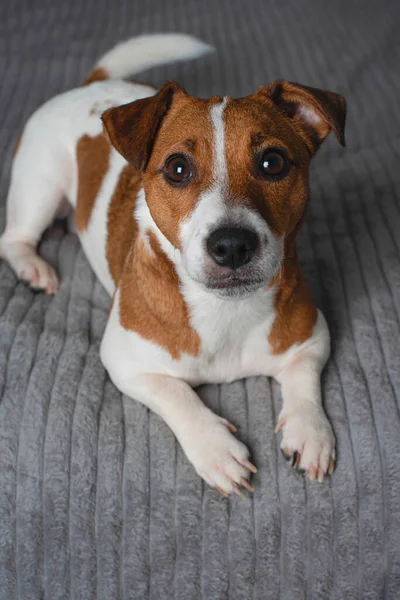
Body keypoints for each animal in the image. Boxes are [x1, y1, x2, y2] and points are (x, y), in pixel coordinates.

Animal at [0, 32, 346, 496]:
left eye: (272, 162)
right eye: (178, 168)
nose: (232, 245)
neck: (224, 310)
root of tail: (90, 85)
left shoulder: (311, 337)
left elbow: (303, 381)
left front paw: (310, 432)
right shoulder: (126, 362)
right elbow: (178, 395)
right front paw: (215, 448)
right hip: (40, 187)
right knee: (15, 237)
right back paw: (32, 267)